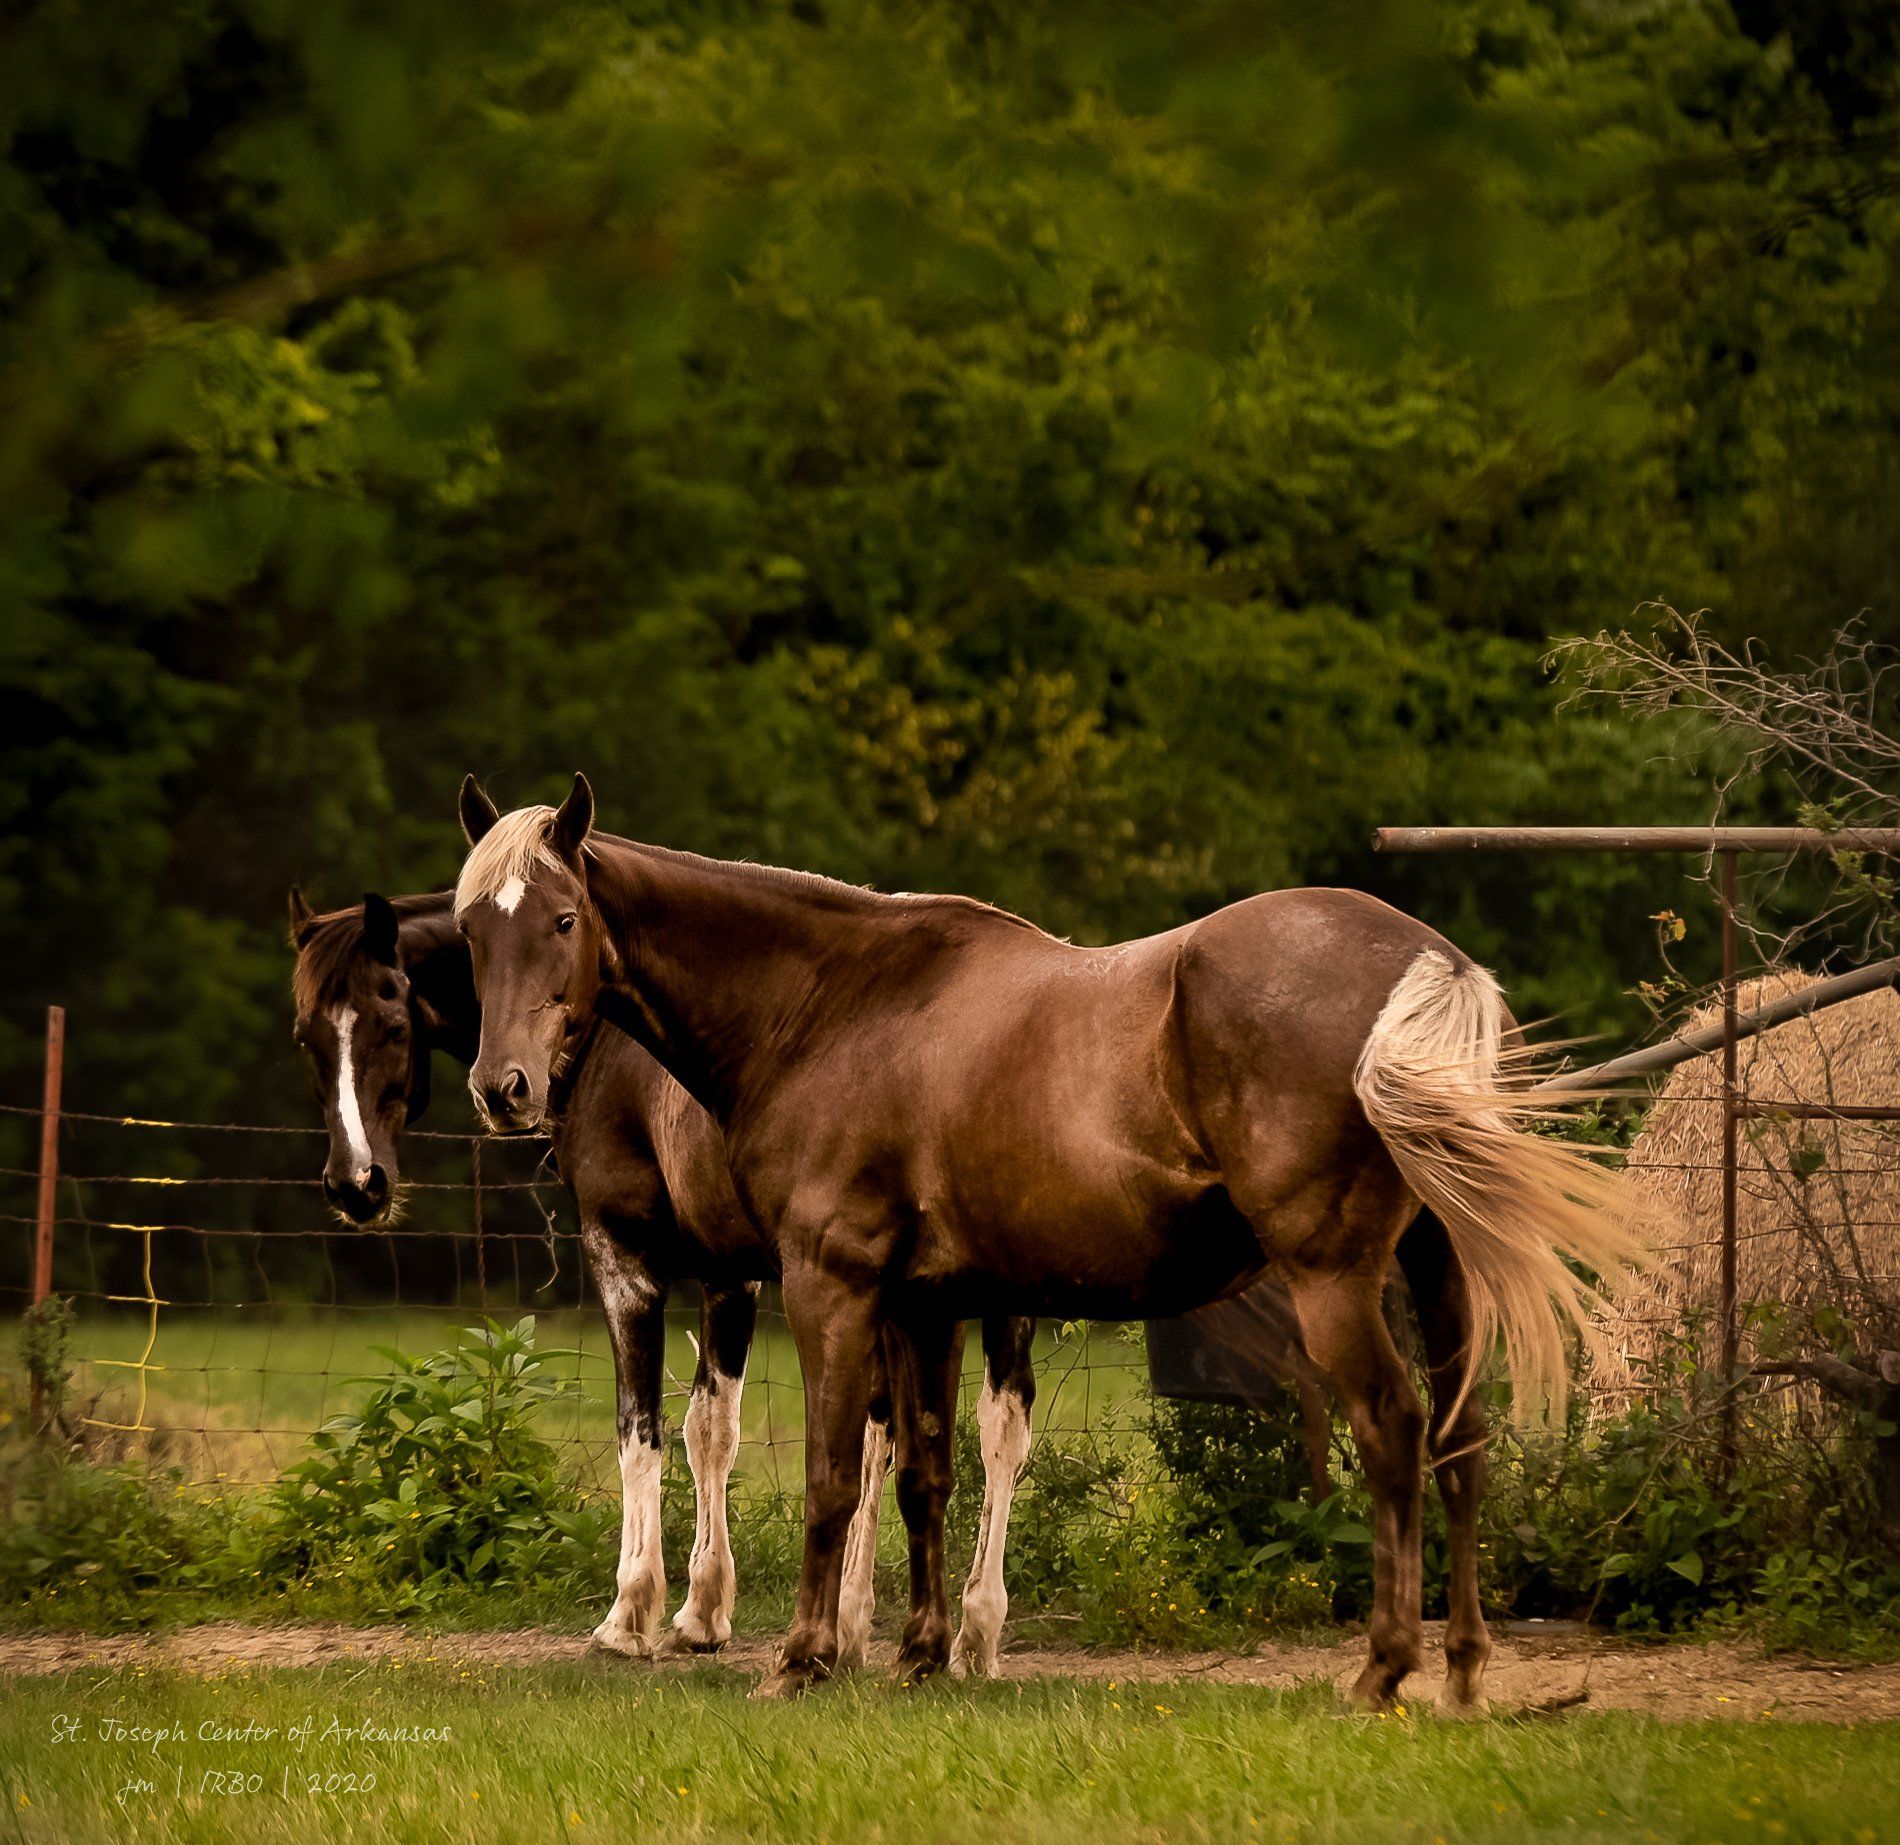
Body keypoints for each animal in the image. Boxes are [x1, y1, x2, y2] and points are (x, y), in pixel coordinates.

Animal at [287, 880, 1037, 1677]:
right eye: (306, 1035)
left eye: (393, 1024)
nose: (356, 1184)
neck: (607, 1034)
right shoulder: (729, 1271)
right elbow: (711, 1429)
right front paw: (709, 1611)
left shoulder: (631, 1255)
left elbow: (644, 1427)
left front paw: (636, 1612)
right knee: (963, 1432)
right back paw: (932, 1628)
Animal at [451, 775, 1648, 1706]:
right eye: (471, 929)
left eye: (562, 920)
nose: (502, 1088)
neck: (833, 1002)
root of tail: (1430, 963)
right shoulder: (925, 1303)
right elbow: (924, 1474)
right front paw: (920, 1653)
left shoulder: (827, 1286)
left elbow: (830, 1476)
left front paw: (802, 1657)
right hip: (1438, 1268)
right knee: (1458, 1438)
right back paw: (1463, 1669)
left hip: (1335, 1280)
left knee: (1395, 1428)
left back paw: (1385, 1667)